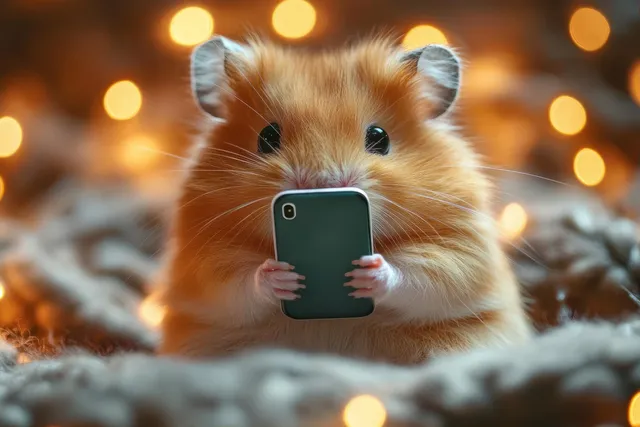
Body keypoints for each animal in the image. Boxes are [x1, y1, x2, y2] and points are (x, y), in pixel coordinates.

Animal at [156, 35, 532, 364]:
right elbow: (235, 281)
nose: (322, 186)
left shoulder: (461, 243)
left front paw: (369, 271)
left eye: (379, 138)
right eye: (267, 137)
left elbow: (427, 274)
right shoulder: (203, 250)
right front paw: (280, 275)